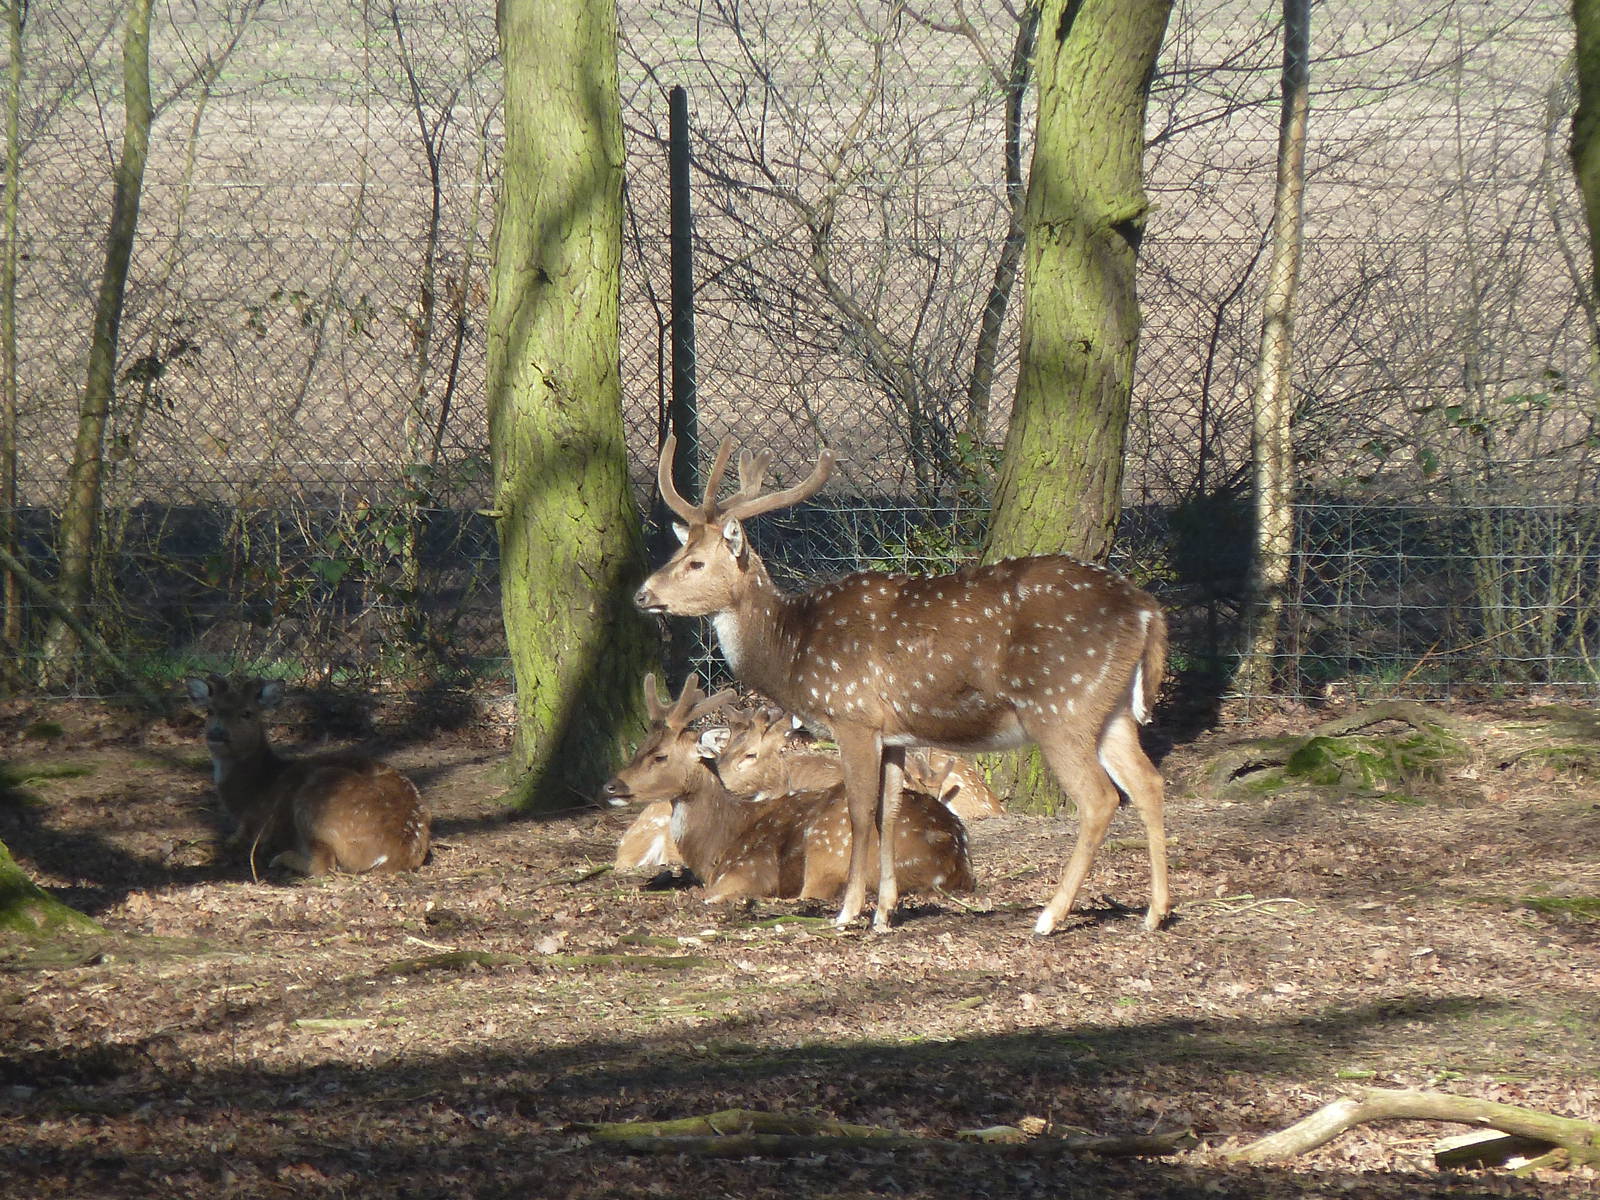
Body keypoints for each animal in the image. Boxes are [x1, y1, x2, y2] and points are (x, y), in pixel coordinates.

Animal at [186, 675, 430, 877]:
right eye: (210, 711)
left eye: (247, 712)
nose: (217, 732)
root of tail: (390, 857)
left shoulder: (255, 824)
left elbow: (231, 841)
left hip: (318, 799)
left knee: (322, 865)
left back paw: (279, 858)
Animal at [601, 675, 973, 902]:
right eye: (639, 747)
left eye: (660, 755)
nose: (610, 786)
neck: (717, 846)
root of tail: (951, 862)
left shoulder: (748, 870)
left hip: (828, 845)